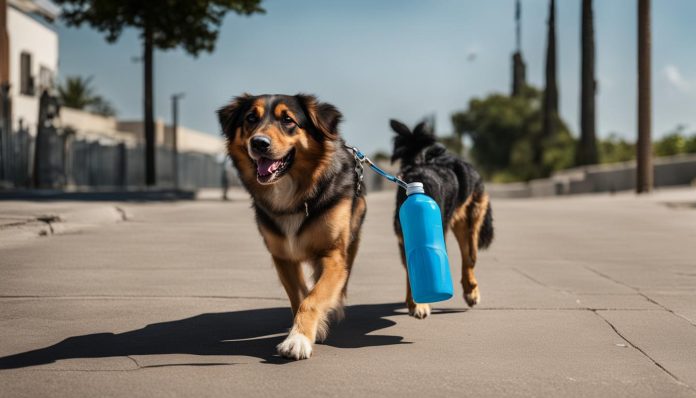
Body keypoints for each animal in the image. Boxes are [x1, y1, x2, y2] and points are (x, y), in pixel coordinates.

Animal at [219, 94, 368, 360]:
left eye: (288, 120)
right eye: (251, 118)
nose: (259, 143)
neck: (294, 194)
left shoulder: (333, 255)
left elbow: (313, 298)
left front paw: (298, 340)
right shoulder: (283, 256)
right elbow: (300, 297)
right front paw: (304, 333)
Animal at [392, 119, 494, 318]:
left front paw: (419, 304)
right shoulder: (405, 241)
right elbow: (411, 270)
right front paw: (416, 303)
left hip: (469, 220)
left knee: (469, 256)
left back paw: (471, 291)